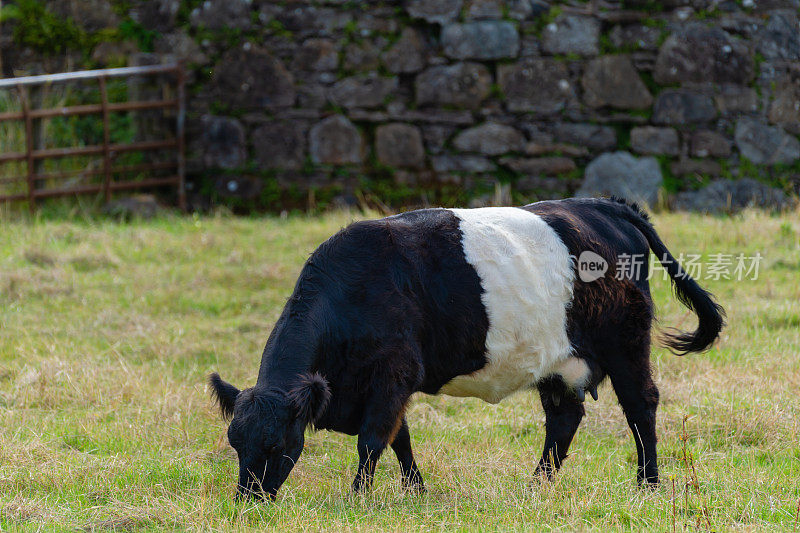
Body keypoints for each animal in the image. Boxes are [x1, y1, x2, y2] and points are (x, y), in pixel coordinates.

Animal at [208, 195, 724, 498]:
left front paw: (358, 498)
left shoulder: (393, 376)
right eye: (234, 442)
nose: (249, 500)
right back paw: (537, 486)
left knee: (641, 406)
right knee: (564, 418)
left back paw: (648, 483)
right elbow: (400, 439)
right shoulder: (389, 386)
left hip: (626, 344)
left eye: (276, 443)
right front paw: (416, 491)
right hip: (558, 360)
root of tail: (608, 206)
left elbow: (373, 441)